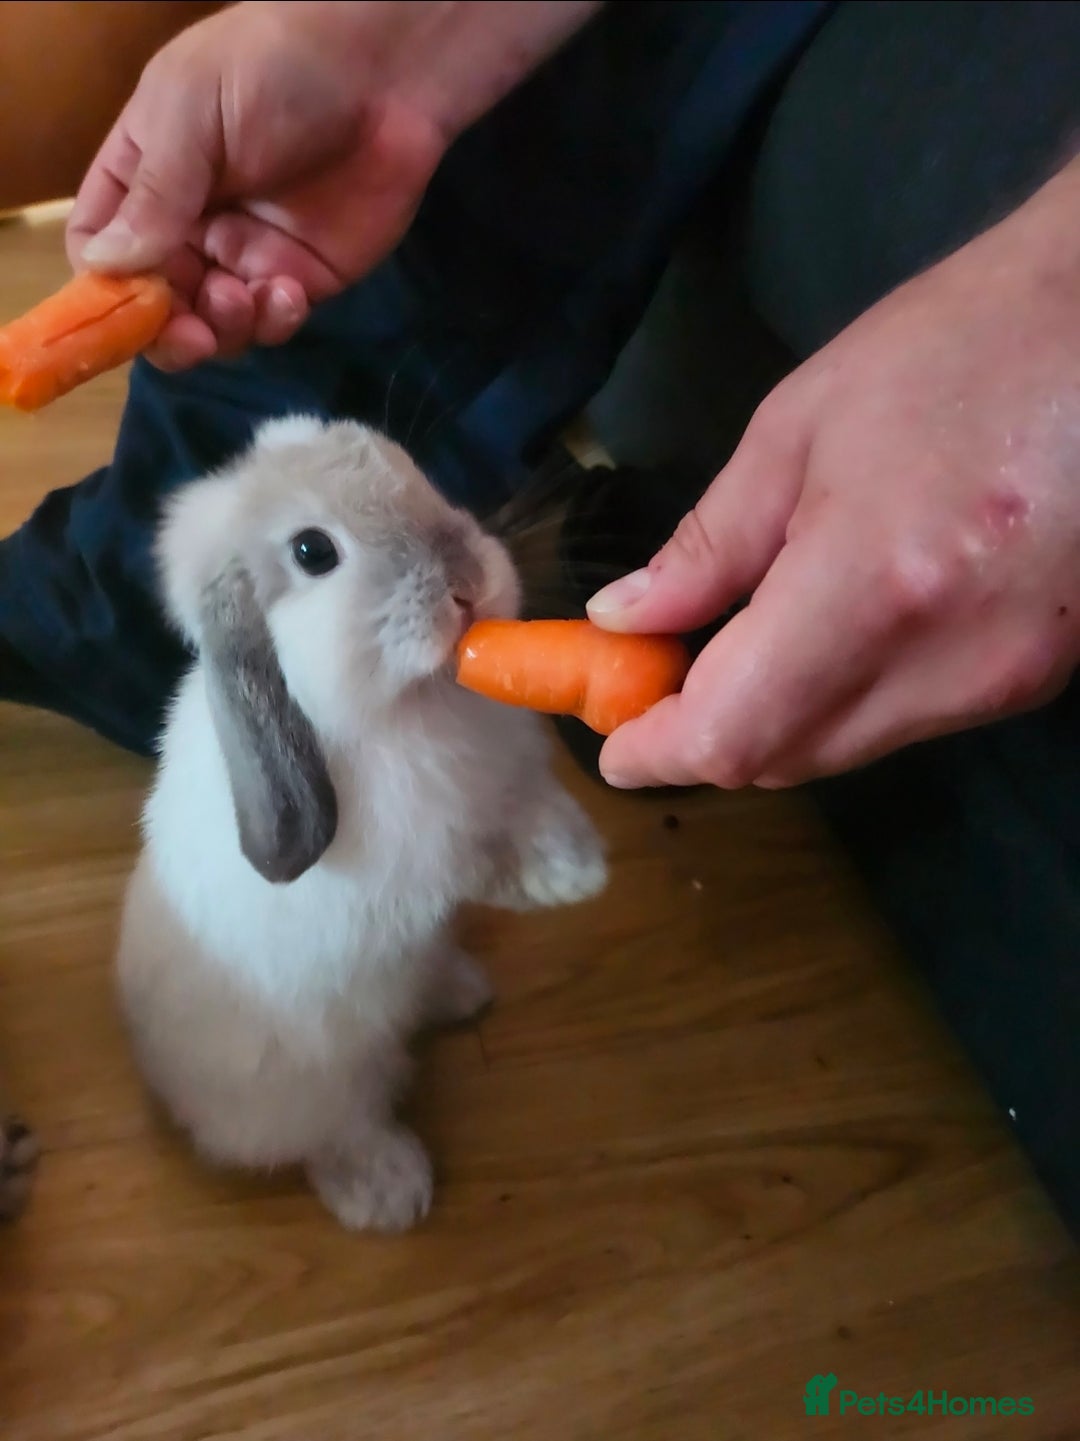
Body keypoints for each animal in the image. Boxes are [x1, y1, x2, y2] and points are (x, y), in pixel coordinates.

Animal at [114, 415, 608, 1232]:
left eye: (408, 468)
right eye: (314, 551)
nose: (467, 580)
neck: (418, 703)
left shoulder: (511, 780)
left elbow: (532, 813)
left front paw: (577, 859)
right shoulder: (424, 855)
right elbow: (480, 860)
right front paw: (569, 877)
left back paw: (461, 990)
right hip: (313, 1082)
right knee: (332, 1130)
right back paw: (389, 1190)